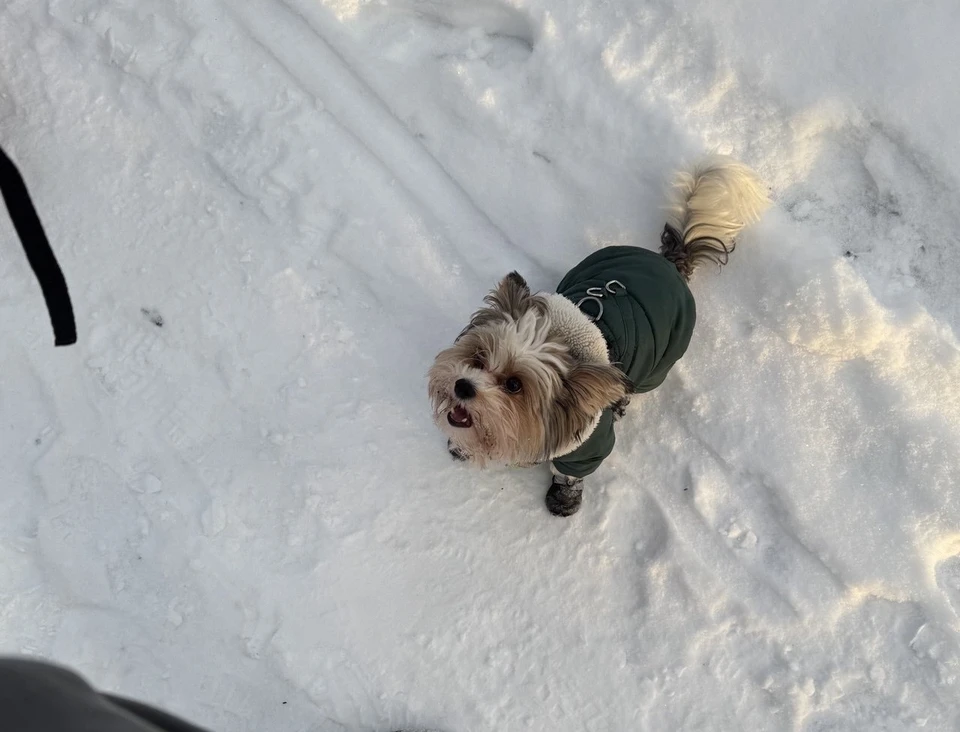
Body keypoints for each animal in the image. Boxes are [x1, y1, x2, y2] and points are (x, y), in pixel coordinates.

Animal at [432, 157, 768, 516]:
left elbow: (572, 471)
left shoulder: (589, 446)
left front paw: (564, 498)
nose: (462, 386)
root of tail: (668, 261)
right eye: (478, 357)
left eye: (513, 385)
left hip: (662, 361)